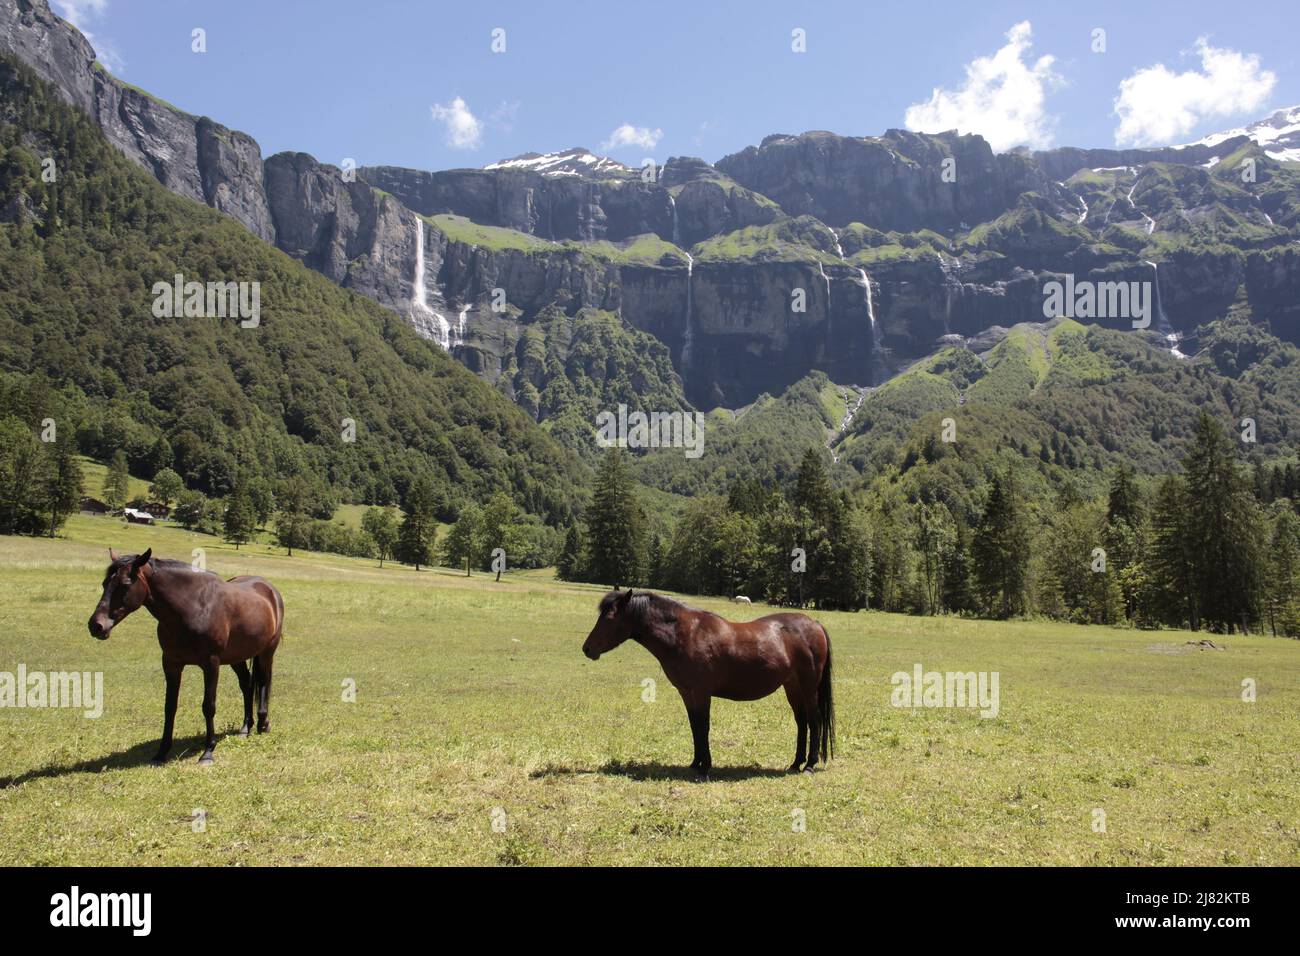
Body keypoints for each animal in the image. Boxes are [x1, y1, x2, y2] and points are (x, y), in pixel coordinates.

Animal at [89, 548, 287, 764]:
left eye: (125, 584)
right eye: (105, 583)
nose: (96, 626)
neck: (192, 607)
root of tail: (270, 590)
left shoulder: (211, 664)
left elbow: (208, 706)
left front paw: (208, 752)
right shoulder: (171, 663)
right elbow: (170, 706)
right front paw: (161, 752)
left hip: (267, 652)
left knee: (264, 682)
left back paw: (263, 724)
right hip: (237, 657)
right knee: (247, 685)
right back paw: (245, 728)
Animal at [585, 590, 837, 780]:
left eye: (609, 618)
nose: (587, 649)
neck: (686, 634)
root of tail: (815, 624)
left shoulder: (701, 693)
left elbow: (703, 727)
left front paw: (705, 767)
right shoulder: (687, 693)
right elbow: (695, 727)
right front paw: (695, 763)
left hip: (808, 688)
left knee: (814, 721)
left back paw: (809, 765)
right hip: (792, 687)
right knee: (801, 722)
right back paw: (795, 763)